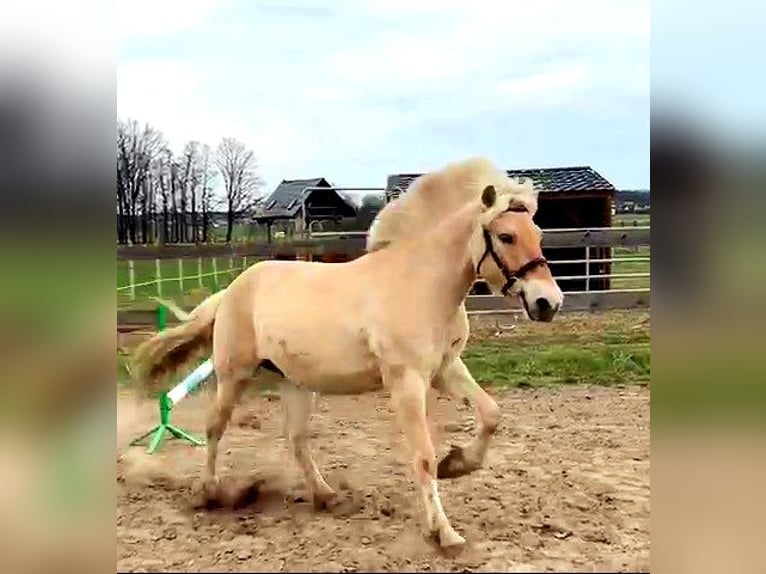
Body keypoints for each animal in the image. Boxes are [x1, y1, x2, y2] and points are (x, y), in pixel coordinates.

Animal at [131, 156, 564, 548]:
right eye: (506, 236)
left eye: (538, 233)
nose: (549, 303)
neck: (421, 283)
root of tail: (233, 289)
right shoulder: (406, 381)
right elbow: (423, 455)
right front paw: (445, 533)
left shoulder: (445, 369)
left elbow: (491, 414)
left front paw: (457, 464)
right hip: (232, 374)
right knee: (214, 428)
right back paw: (209, 493)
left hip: (296, 383)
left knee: (296, 439)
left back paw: (326, 496)